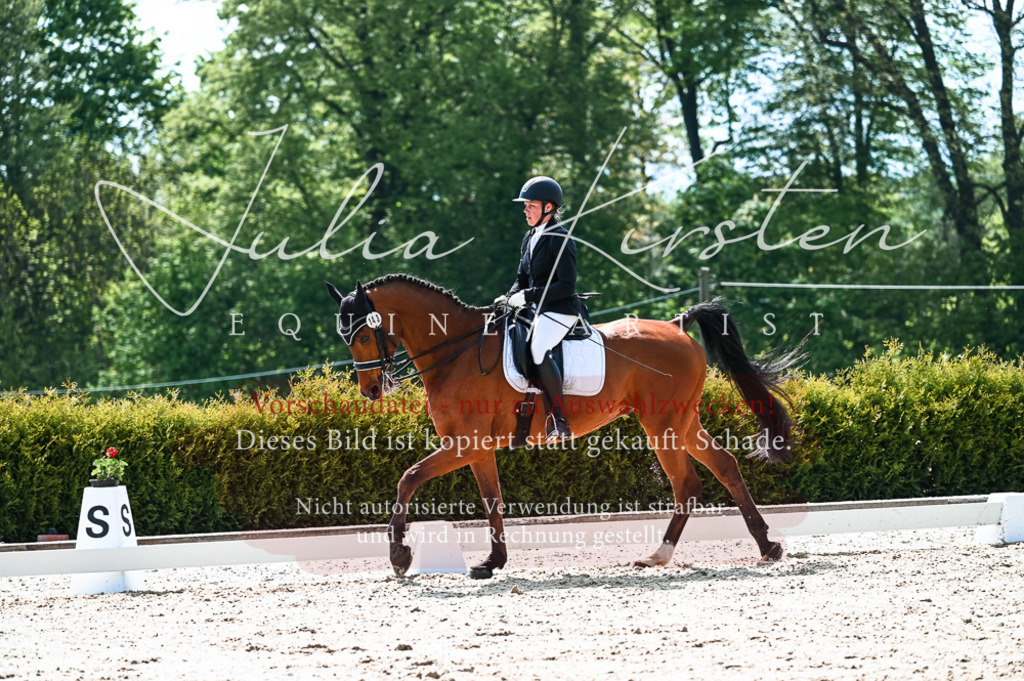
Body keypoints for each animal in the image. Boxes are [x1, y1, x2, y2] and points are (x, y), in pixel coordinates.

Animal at [325, 274, 802, 578]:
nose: (371, 390)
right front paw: (492, 562)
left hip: (662, 425)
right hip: (682, 422)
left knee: (687, 484)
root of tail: (674, 325)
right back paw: (766, 546)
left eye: (363, 335)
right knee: (724, 467)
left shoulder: (465, 444)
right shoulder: (477, 449)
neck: (455, 351)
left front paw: (400, 556)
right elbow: (492, 500)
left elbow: (408, 478)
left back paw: (658, 555)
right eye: (344, 337)